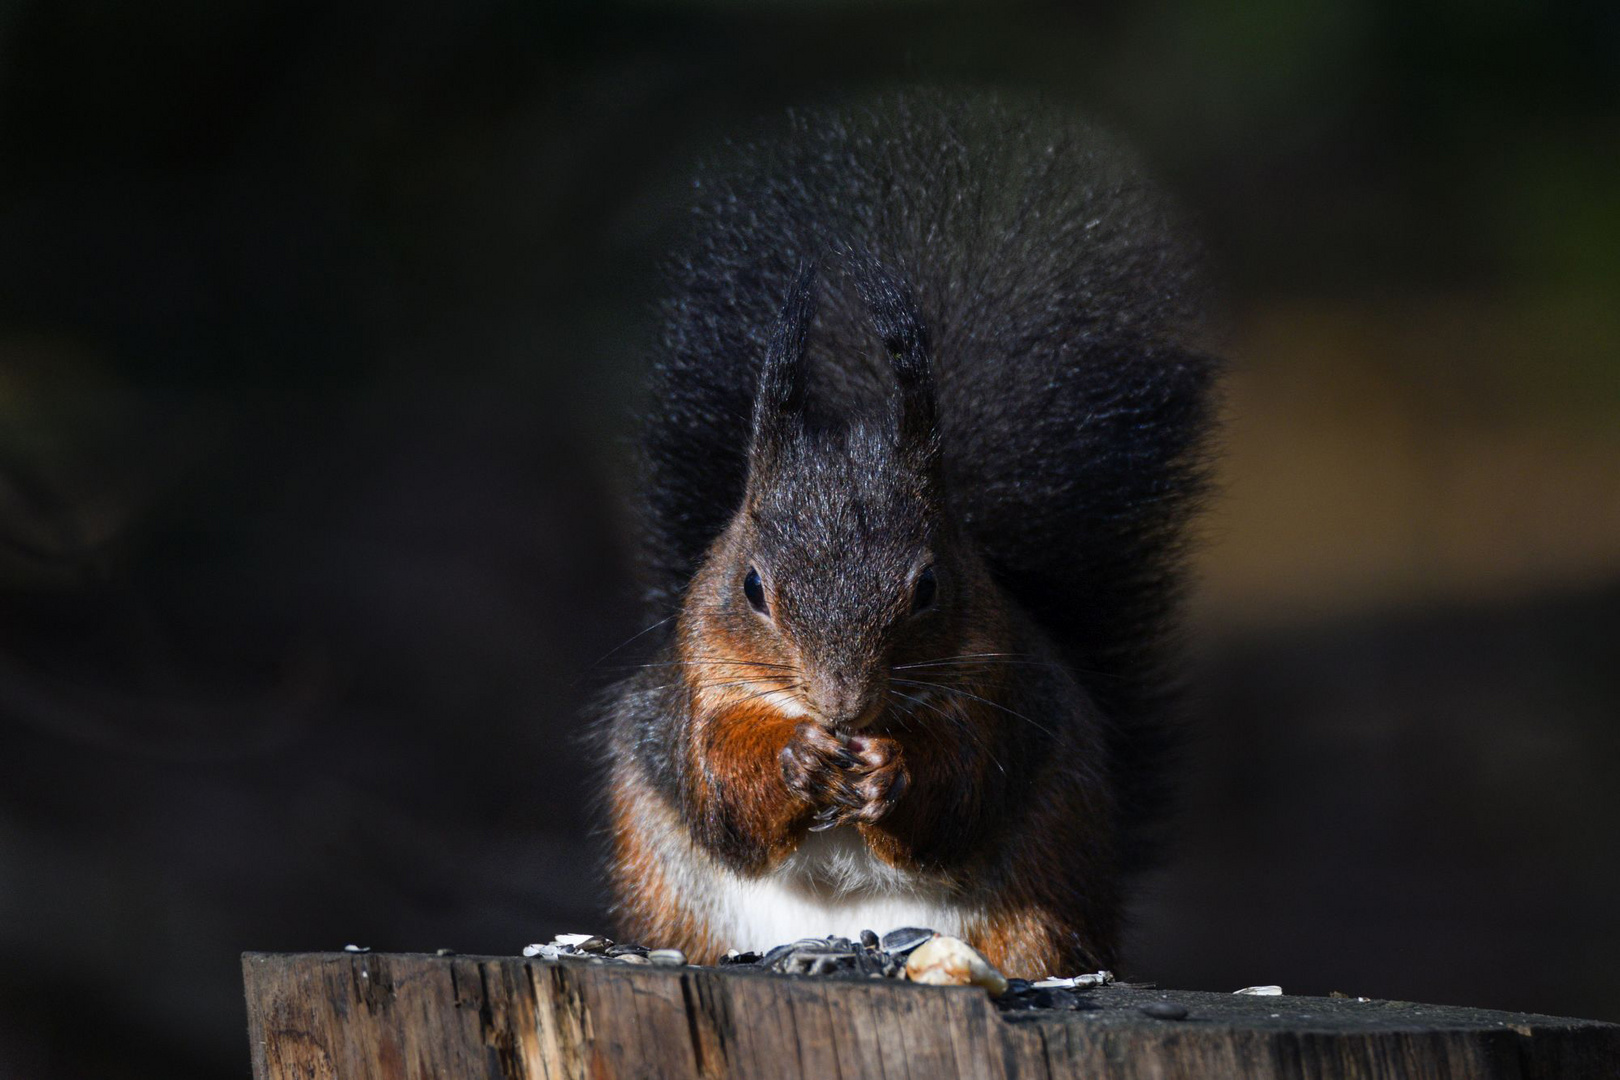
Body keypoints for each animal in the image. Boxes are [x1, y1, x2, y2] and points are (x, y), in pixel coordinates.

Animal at [602, 88, 1218, 977]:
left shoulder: (993, 694)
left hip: (1040, 902)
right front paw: (796, 761)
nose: (844, 707)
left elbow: (957, 796)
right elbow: (721, 791)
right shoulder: (705, 685)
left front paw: (890, 770)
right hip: (668, 894)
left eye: (928, 587)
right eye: (751, 587)